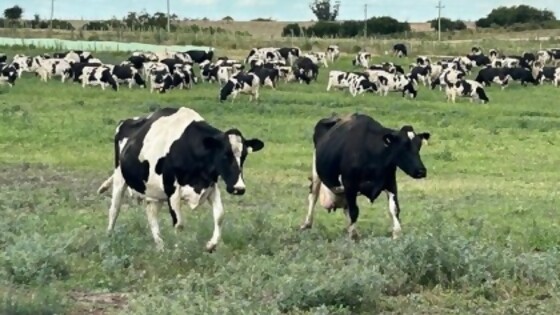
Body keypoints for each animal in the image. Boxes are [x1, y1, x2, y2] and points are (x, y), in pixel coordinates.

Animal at [97, 107, 266, 253]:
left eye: (244, 156)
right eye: (225, 154)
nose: (239, 188)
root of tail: (127, 121)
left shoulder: (211, 185)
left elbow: (219, 215)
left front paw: (211, 245)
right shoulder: (171, 189)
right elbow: (179, 224)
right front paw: (179, 250)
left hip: (153, 191)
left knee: (151, 214)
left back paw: (160, 246)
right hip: (120, 177)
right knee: (114, 209)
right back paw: (109, 236)